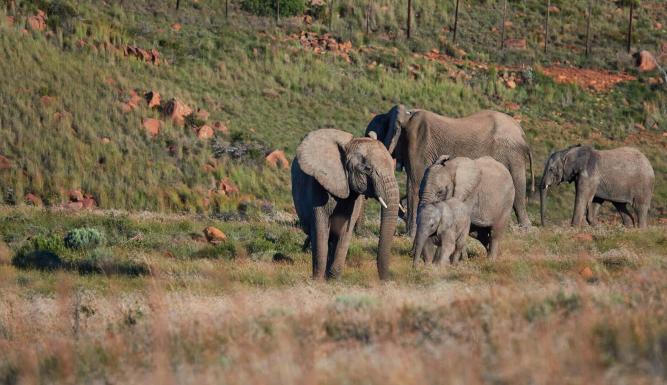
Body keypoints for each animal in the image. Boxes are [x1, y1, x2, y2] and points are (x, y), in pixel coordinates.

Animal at [290, 129, 396, 280]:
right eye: (367, 169)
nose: (387, 280)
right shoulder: (318, 186)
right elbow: (320, 228)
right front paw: (318, 280)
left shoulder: (355, 197)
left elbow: (345, 230)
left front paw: (333, 280)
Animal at [368, 105, 536, 237]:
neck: (406, 115)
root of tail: (521, 132)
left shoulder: (418, 142)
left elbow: (415, 184)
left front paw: (410, 235)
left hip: (512, 154)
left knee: (517, 187)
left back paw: (524, 231)